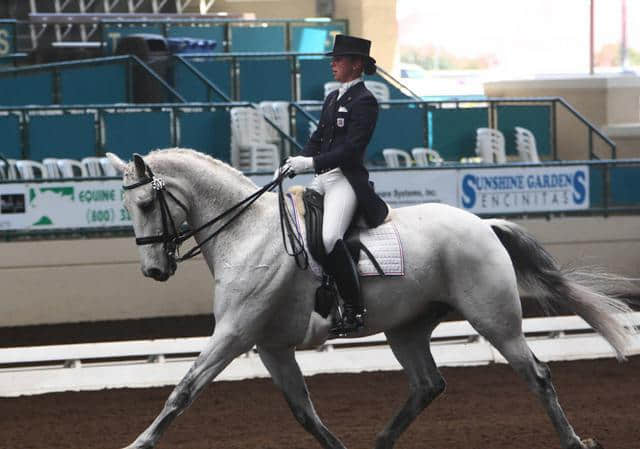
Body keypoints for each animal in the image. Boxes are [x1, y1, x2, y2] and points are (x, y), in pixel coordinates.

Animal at [107, 150, 632, 448]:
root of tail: (484, 225)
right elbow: (305, 412)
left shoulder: (234, 334)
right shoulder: (270, 346)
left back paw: (574, 441)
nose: (154, 270)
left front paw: (137, 444)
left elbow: (182, 392)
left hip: (495, 320)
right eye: (127, 205)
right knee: (427, 385)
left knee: (537, 376)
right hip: (406, 329)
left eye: (147, 203)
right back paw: (381, 442)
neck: (248, 232)